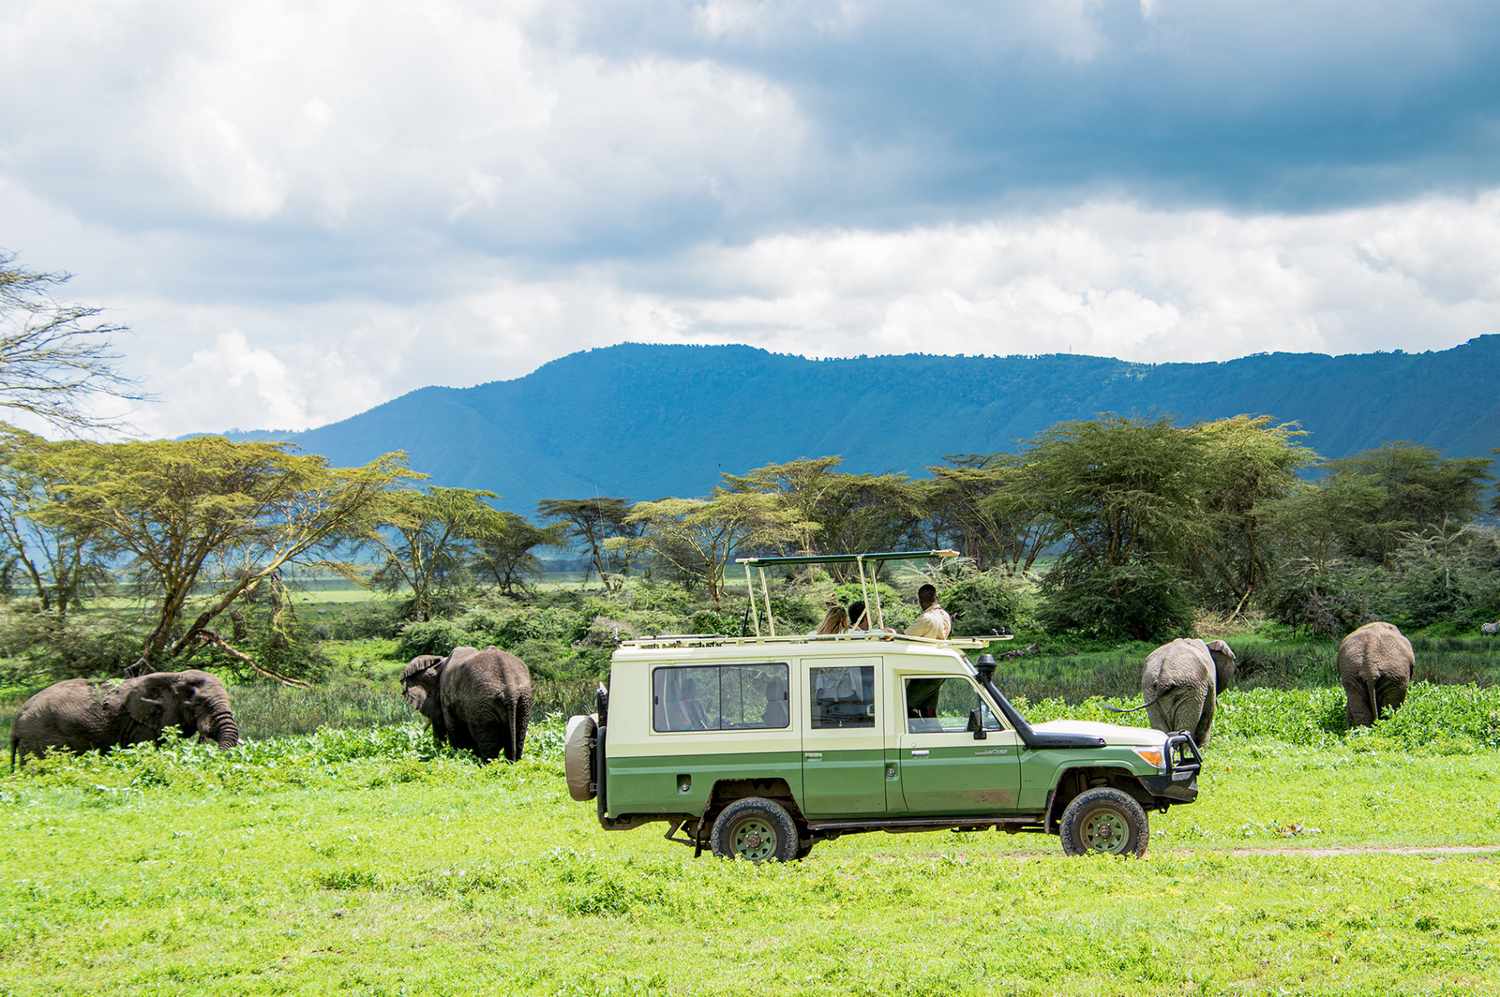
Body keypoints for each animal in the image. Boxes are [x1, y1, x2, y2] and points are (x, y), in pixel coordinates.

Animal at [402, 645, 534, 762]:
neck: (439, 665)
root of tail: (510, 688)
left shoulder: (446, 698)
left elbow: (453, 729)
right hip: (522, 701)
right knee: (518, 738)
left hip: (482, 704)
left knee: (488, 744)